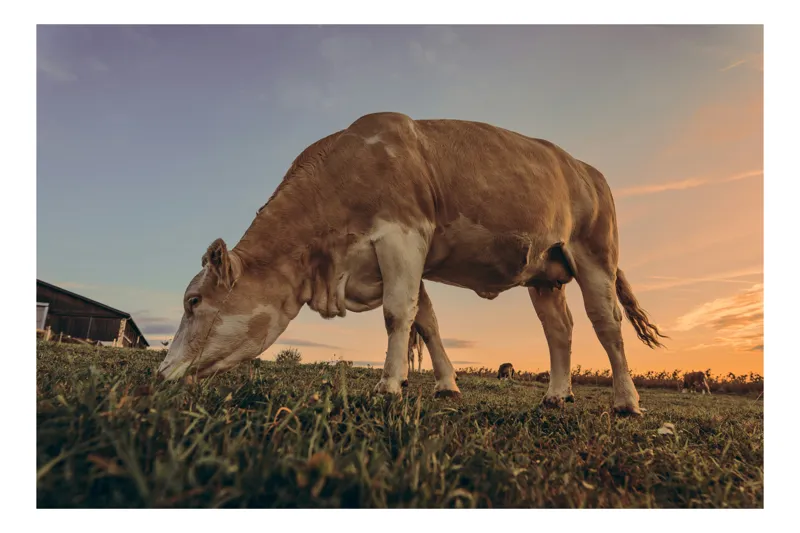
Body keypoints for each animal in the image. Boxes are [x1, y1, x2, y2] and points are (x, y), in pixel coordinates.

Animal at [158, 112, 667, 416]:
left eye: (193, 301)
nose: (160, 372)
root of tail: (585, 168)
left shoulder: (402, 236)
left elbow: (397, 314)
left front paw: (389, 383)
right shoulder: (401, 258)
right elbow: (426, 321)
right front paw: (445, 385)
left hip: (595, 254)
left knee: (607, 324)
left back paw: (626, 400)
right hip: (545, 273)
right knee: (559, 329)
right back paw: (556, 395)